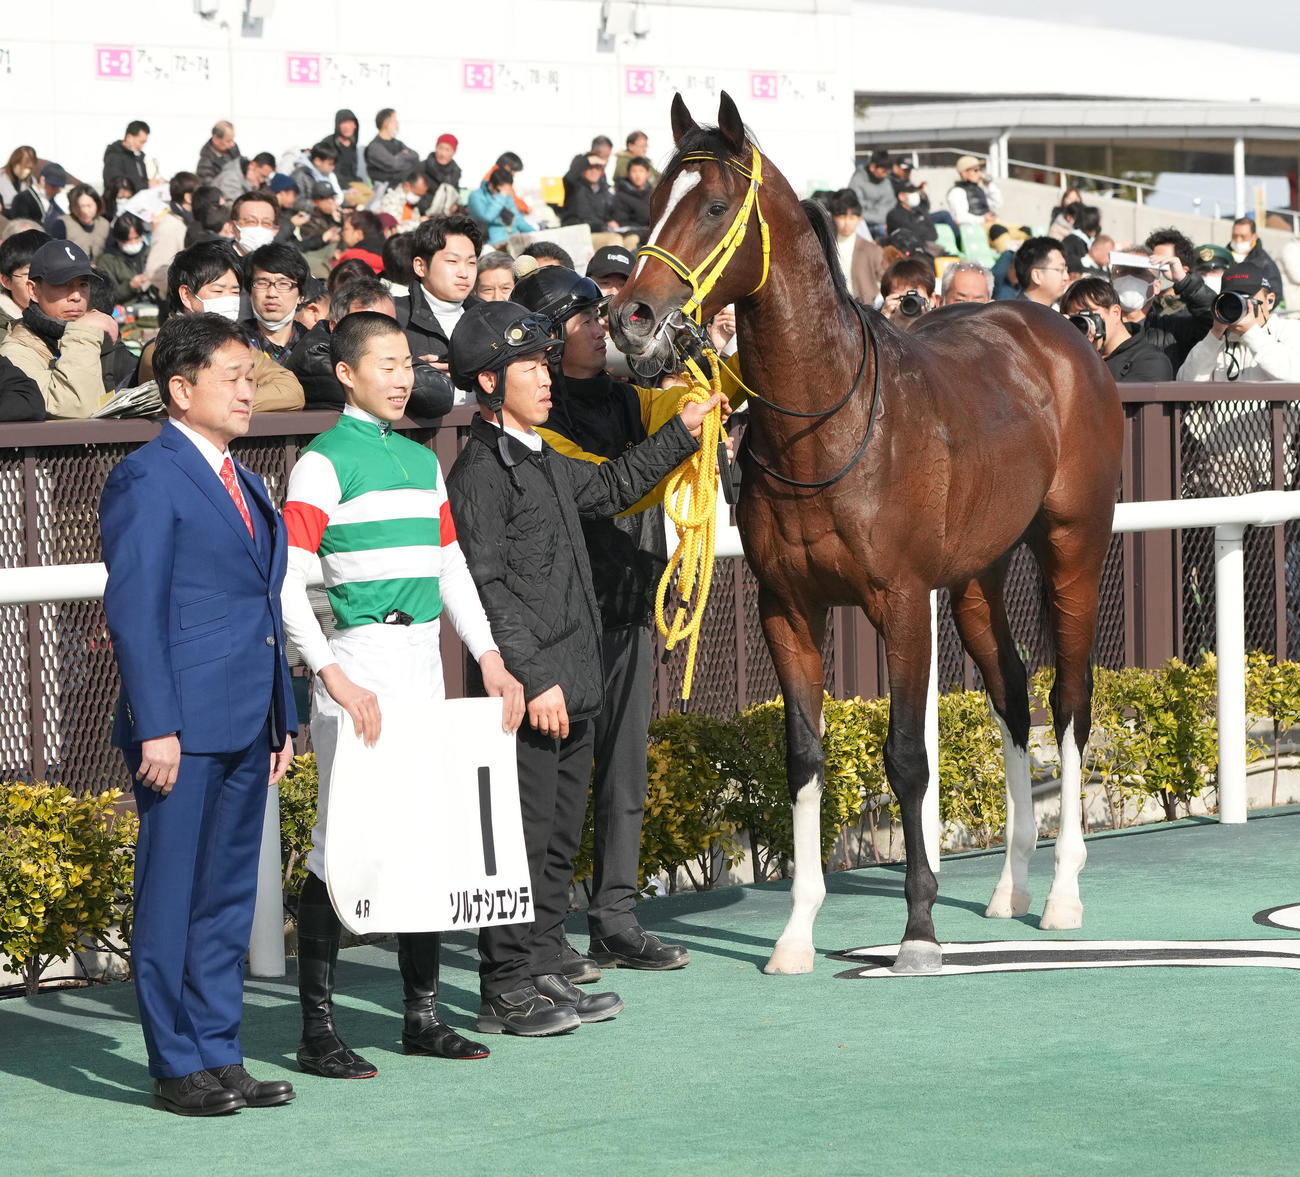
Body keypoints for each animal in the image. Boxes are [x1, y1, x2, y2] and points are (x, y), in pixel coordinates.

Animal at [609, 92, 1123, 974]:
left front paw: (918, 929)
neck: (830, 423)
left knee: (1069, 699)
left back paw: (1062, 891)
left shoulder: (900, 601)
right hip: (978, 576)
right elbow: (803, 756)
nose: (632, 319)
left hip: (1073, 547)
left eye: (713, 207)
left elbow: (908, 757)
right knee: (1012, 691)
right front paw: (795, 934)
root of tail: (1065, 333)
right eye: (649, 203)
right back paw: (1010, 885)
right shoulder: (788, 607)